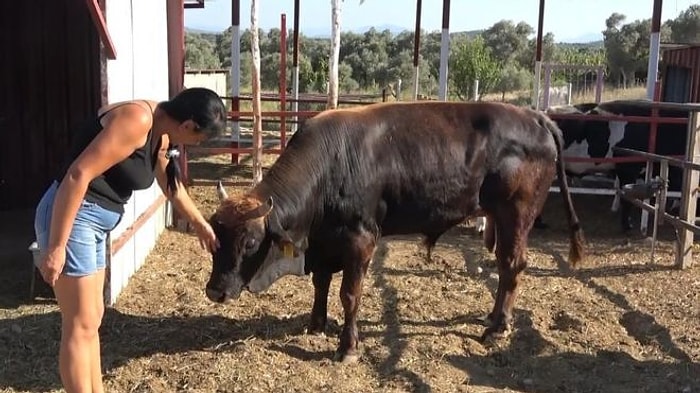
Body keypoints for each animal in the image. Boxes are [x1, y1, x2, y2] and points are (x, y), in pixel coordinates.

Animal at [204, 100, 584, 362]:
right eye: (214, 239)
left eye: (250, 242)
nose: (214, 291)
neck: (331, 165)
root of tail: (535, 117)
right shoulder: (324, 242)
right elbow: (321, 284)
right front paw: (316, 325)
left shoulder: (360, 241)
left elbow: (349, 295)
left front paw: (348, 347)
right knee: (506, 269)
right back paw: (492, 317)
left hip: (515, 215)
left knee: (511, 265)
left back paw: (498, 327)